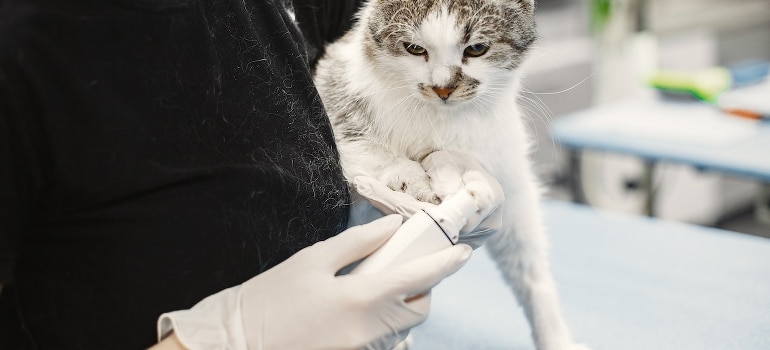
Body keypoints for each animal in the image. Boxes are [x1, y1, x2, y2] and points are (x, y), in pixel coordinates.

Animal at [312, 0, 588, 350]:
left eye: (477, 49)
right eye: (414, 49)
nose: (442, 88)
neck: (443, 121)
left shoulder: (510, 178)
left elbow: (529, 266)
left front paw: (555, 335)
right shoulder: (336, 92)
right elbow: (369, 149)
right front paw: (415, 183)